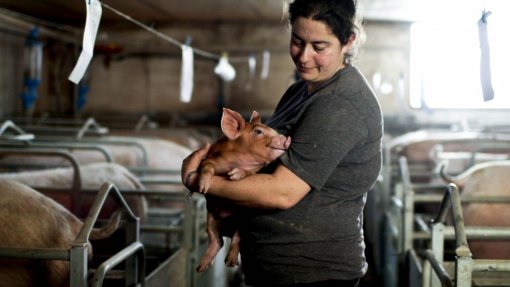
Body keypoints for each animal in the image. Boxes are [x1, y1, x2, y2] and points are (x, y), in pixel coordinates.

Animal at [189, 109, 290, 274]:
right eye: (258, 131)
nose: (286, 138)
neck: (239, 161)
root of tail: (228, 227)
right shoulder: (210, 160)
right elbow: (207, 166)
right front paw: (203, 187)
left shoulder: (257, 172)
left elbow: (249, 173)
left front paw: (234, 175)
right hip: (211, 218)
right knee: (217, 240)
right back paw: (200, 268)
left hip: (243, 218)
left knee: (235, 238)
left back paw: (230, 263)